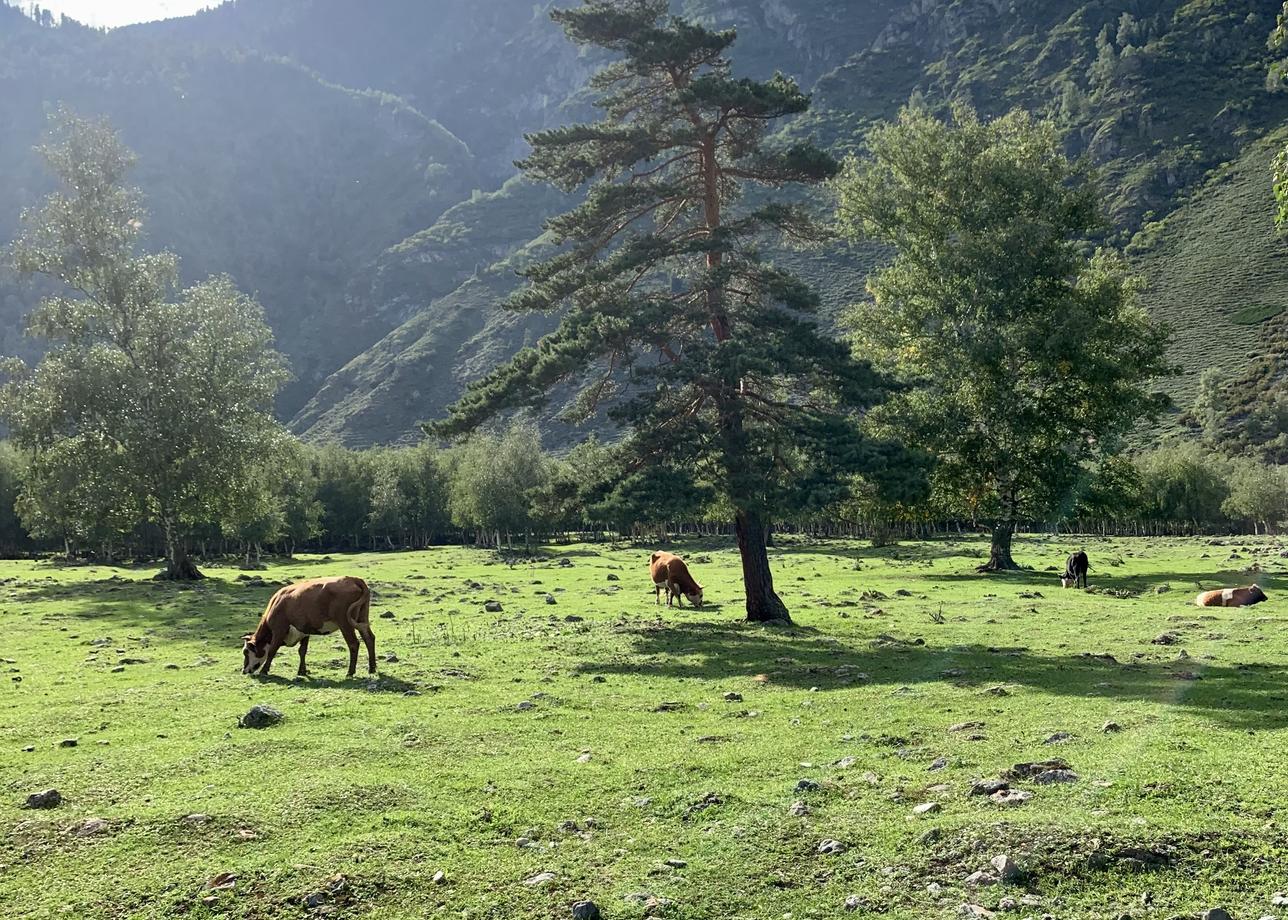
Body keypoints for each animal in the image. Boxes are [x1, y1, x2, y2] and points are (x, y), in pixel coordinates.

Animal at [242, 577, 376, 675]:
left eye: (246, 652)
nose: (243, 671)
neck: (276, 604)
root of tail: (353, 579)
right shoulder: (304, 631)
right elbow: (302, 651)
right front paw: (302, 671)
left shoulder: (279, 630)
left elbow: (272, 651)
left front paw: (264, 671)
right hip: (362, 618)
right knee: (369, 638)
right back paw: (372, 668)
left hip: (345, 623)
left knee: (353, 644)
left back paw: (350, 672)